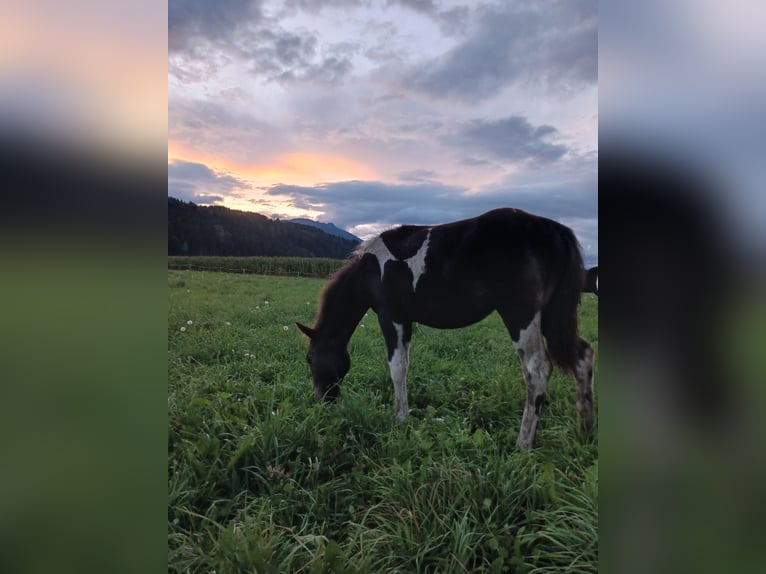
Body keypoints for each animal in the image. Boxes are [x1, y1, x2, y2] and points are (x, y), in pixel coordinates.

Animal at [296, 208, 597, 450]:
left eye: (310, 358)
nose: (323, 401)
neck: (372, 269)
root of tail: (555, 231)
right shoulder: (406, 321)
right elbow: (405, 365)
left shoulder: (391, 316)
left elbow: (396, 367)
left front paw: (400, 420)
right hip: (553, 315)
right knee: (583, 357)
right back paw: (585, 430)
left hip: (521, 316)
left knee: (537, 370)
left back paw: (523, 444)